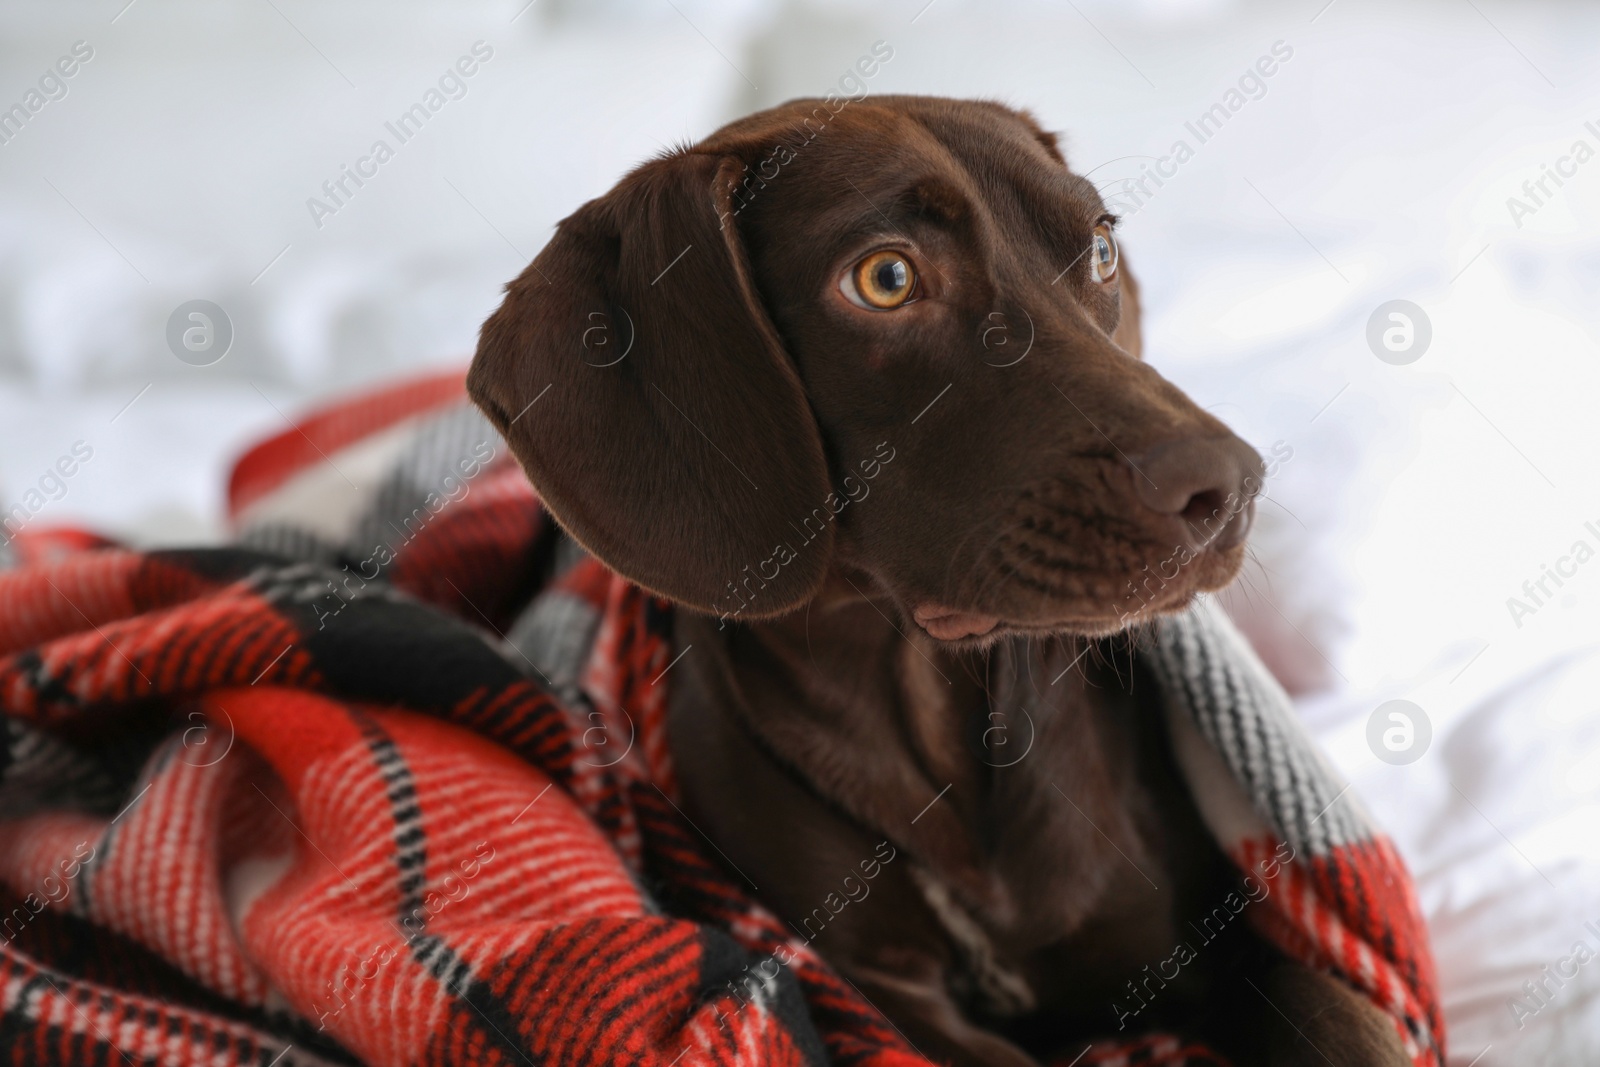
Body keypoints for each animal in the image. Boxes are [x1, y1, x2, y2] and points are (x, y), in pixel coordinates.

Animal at [467, 95, 1414, 1062]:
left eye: (1100, 248)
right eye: (886, 278)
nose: (1228, 486)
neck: (925, 700)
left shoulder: (1222, 941)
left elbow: (1334, 1008)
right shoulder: (879, 994)